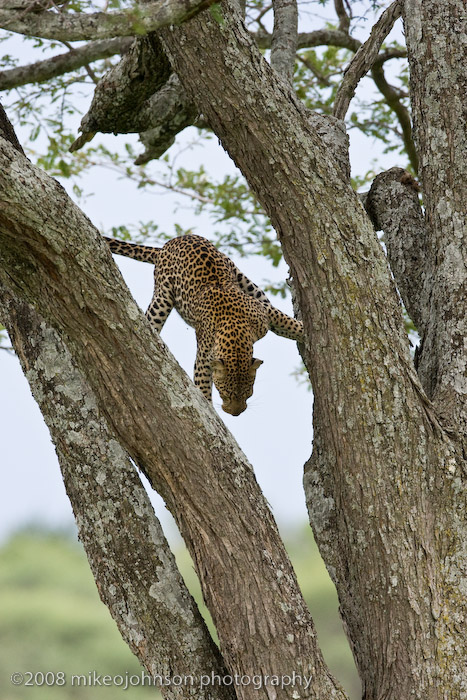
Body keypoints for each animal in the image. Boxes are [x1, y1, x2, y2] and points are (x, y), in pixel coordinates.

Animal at [104, 234, 304, 416]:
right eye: (225, 394)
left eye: (248, 394)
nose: (236, 414)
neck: (236, 333)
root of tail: (170, 243)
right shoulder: (204, 357)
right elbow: (203, 387)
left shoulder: (265, 312)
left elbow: (287, 322)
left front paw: (302, 330)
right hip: (162, 297)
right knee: (150, 319)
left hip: (246, 281)